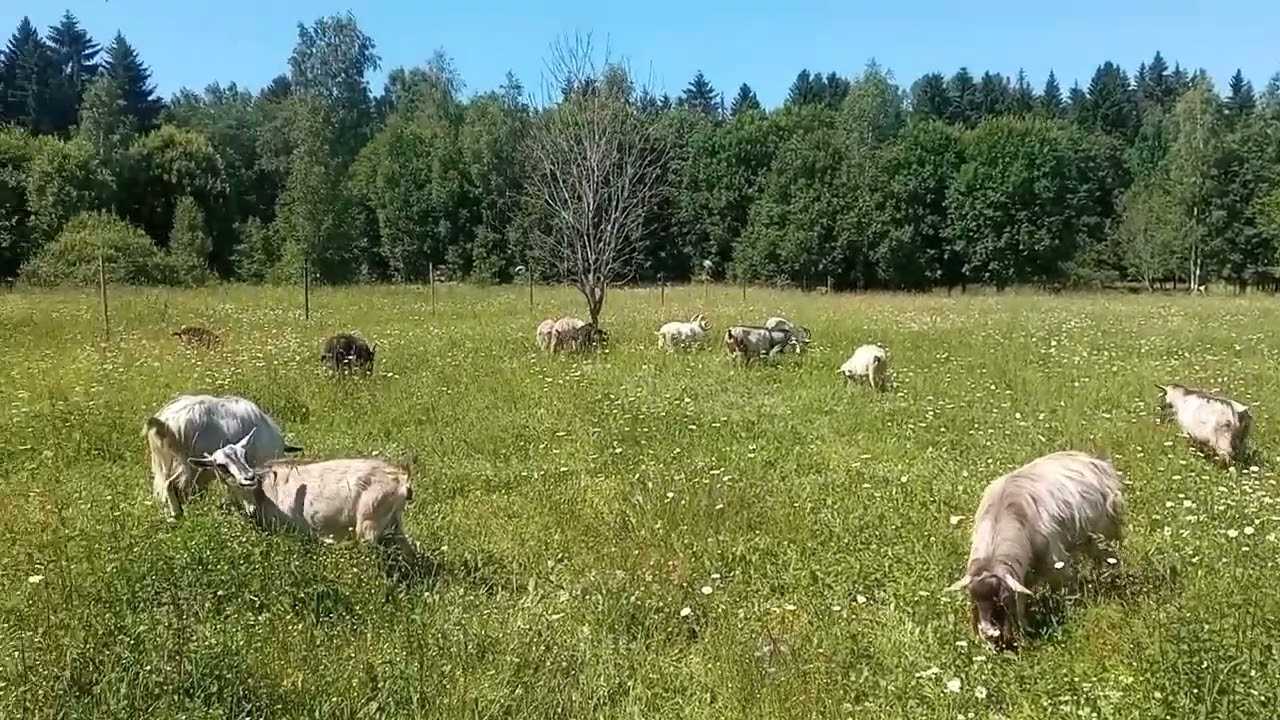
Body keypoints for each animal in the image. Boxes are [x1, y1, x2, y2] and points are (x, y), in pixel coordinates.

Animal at [189, 435, 415, 558]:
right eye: (221, 465)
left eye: (244, 455)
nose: (248, 477)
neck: (260, 492)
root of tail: (401, 478)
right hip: (394, 525)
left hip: (369, 526)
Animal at [947, 450, 1125, 649]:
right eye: (973, 600)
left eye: (999, 601)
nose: (988, 634)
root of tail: (1093, 461)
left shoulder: (1053, 561)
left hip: (1104, 531)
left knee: (1109, 556)